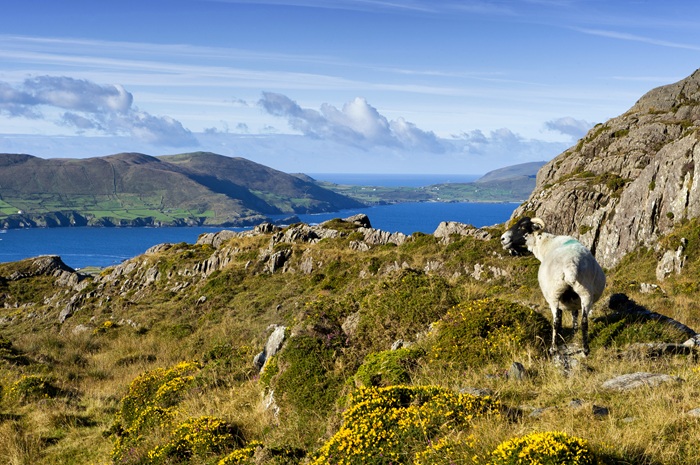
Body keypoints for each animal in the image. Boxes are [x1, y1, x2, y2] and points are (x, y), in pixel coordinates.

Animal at [500, 217, 605, 355]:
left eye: (522, 226)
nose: (502, 238)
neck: (545, 244)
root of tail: (571, 265)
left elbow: (561, 319)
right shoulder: (574, 300)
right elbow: (575, 315)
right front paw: (574, 332)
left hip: (554, 294)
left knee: (556, 322)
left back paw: (553, 349)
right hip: (585, 293)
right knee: (584, 321)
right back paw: (586, 349)